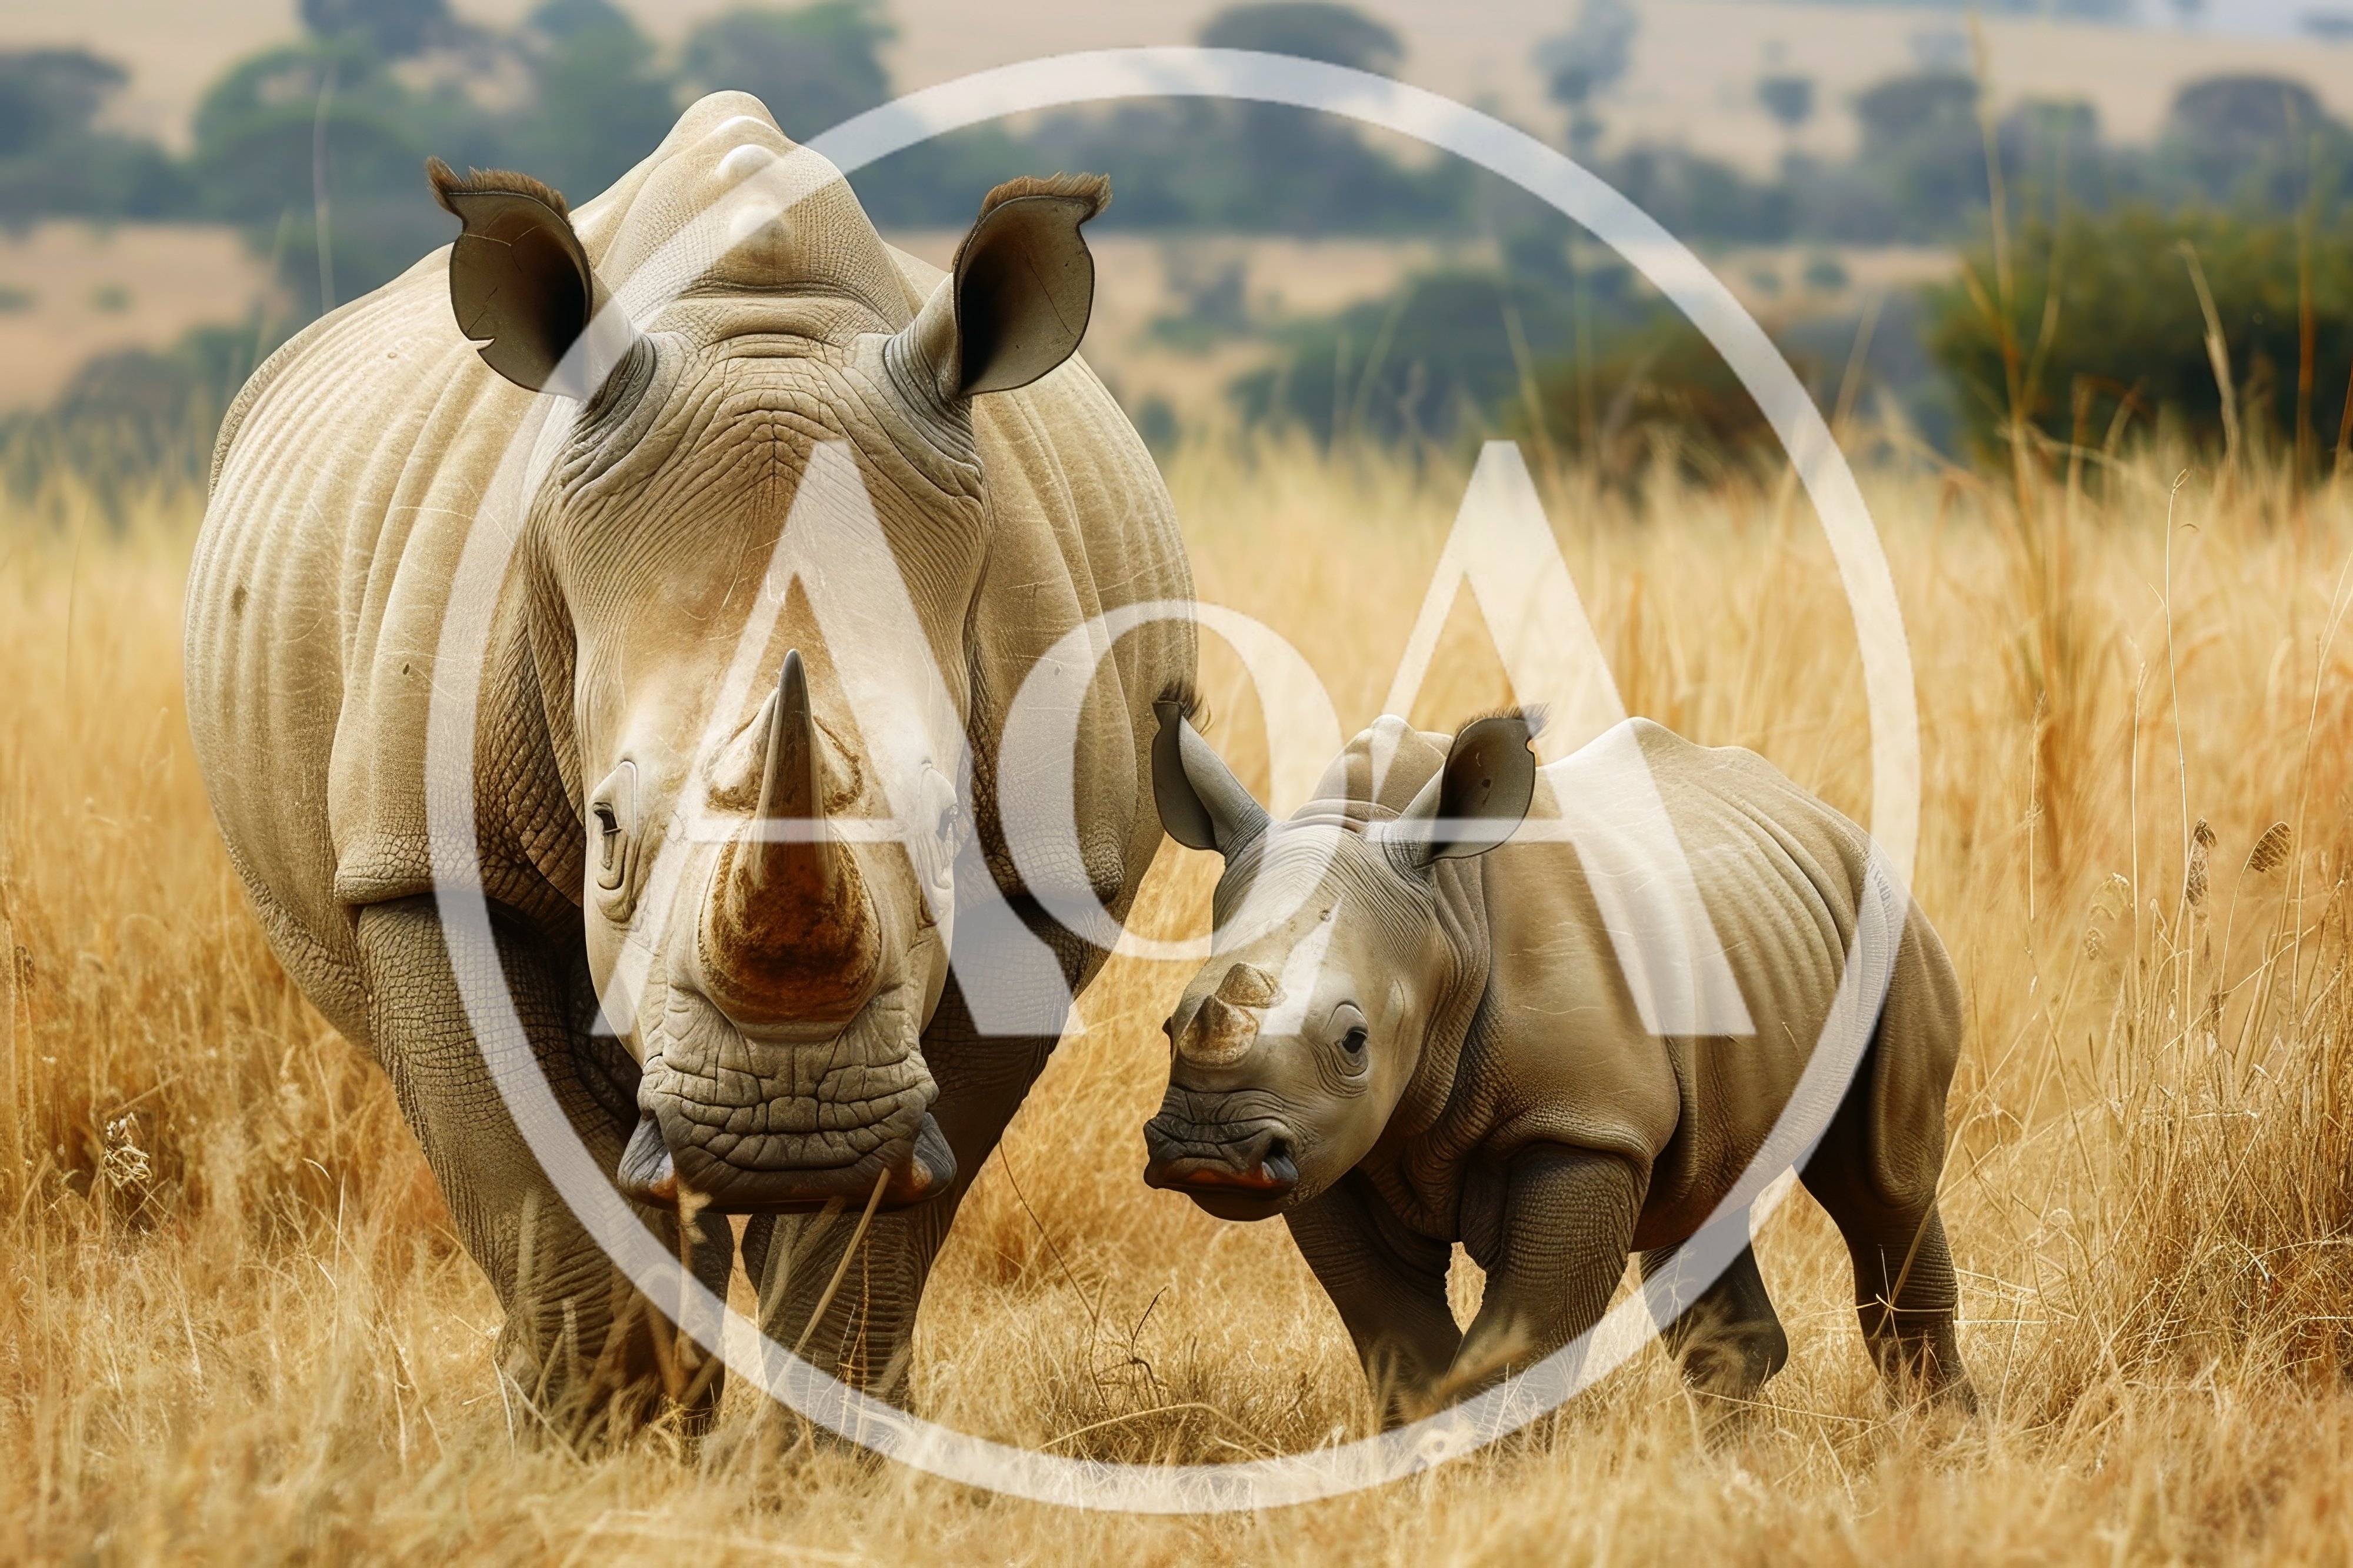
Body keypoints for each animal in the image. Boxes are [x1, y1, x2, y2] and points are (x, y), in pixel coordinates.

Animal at [184, 95, 1193, 1434]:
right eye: (607, 829)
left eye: (943, 832)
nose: (789, 1127)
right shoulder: (424, 861)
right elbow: (539, 1190)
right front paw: (597, 1442)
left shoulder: (1042, 867)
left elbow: (870, 1242)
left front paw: (819, 1451)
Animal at [1142, 707, 1971, 1422]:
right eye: (1170, 1023)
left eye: (1354, 1040)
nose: (1209, 1149)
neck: (1445, 925)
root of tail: (1826, 815)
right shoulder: (1327, 1151)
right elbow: (1399, 1340)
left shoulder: (1580, 1126)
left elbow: (1516, 1345)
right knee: (1703, 1197)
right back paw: (1730, 1465)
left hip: (1889, 924)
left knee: (1883, 1185)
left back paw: (1938, 1437)